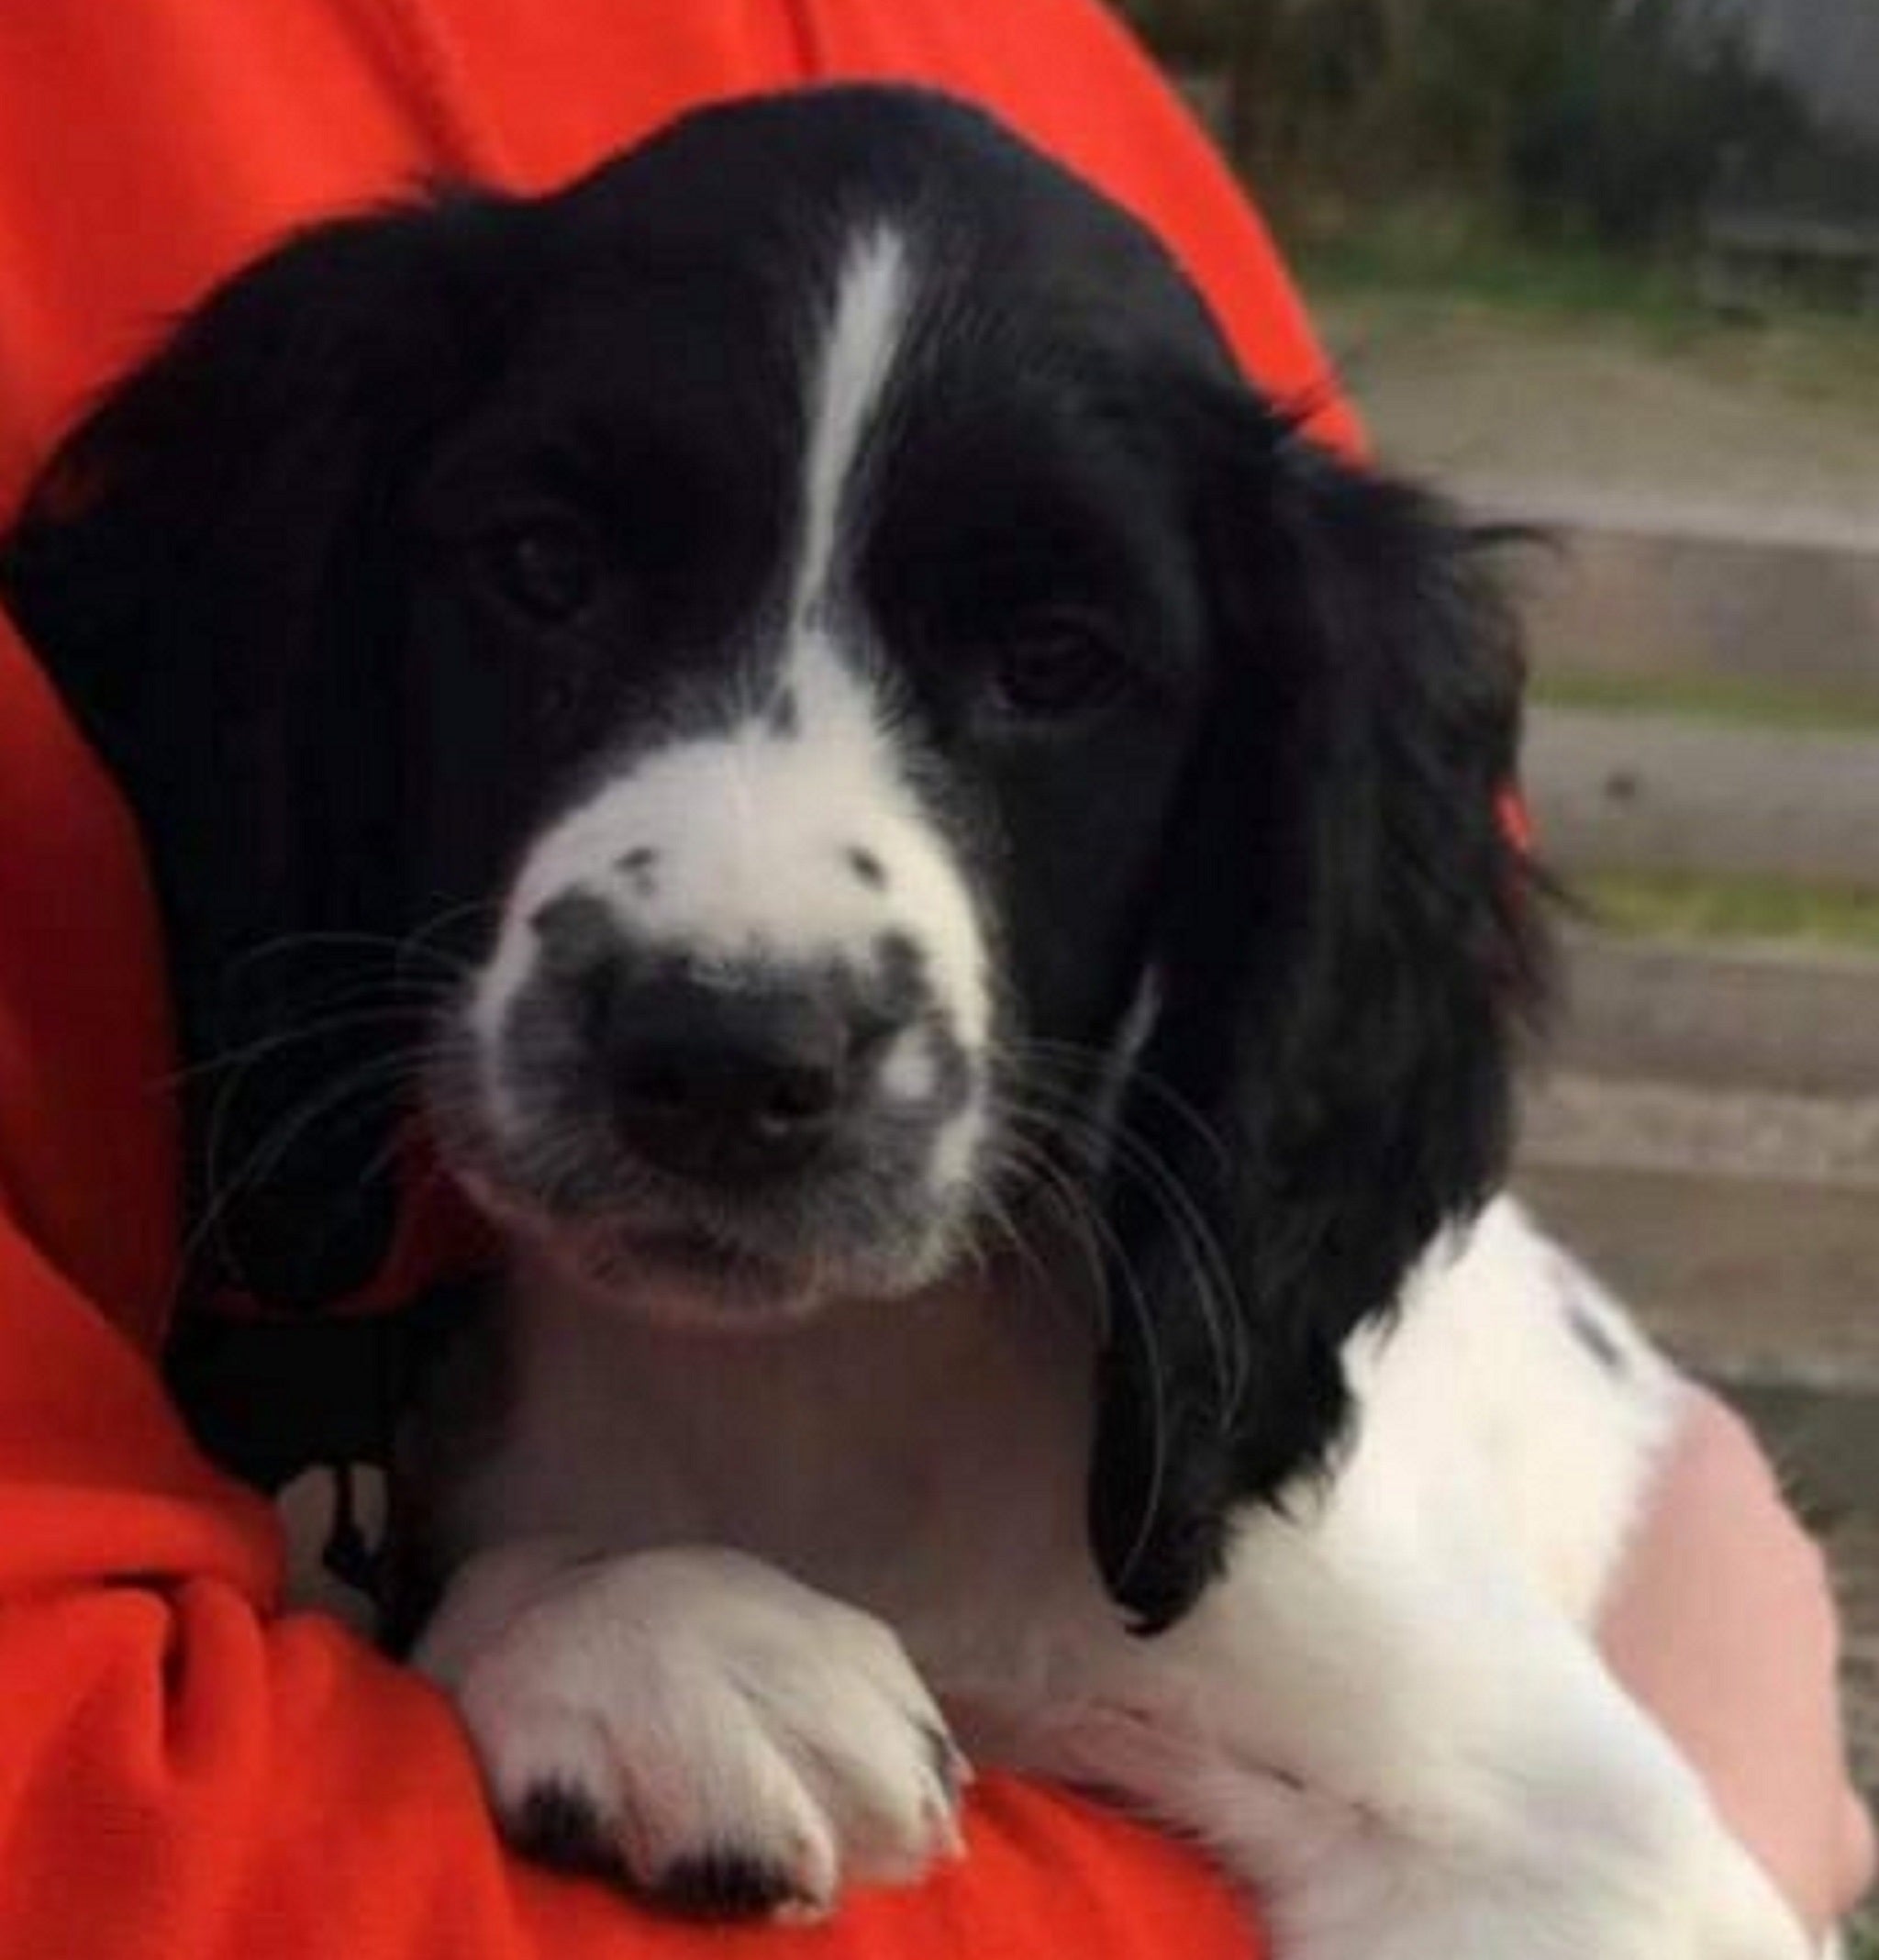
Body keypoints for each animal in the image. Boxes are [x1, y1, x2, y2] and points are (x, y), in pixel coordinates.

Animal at [7, 84, 1818, 1960]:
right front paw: (660, 1631)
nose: (723, 1056)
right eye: (543, 567)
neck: (822, 1389)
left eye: (1056, 660)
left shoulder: (1562, 1844)